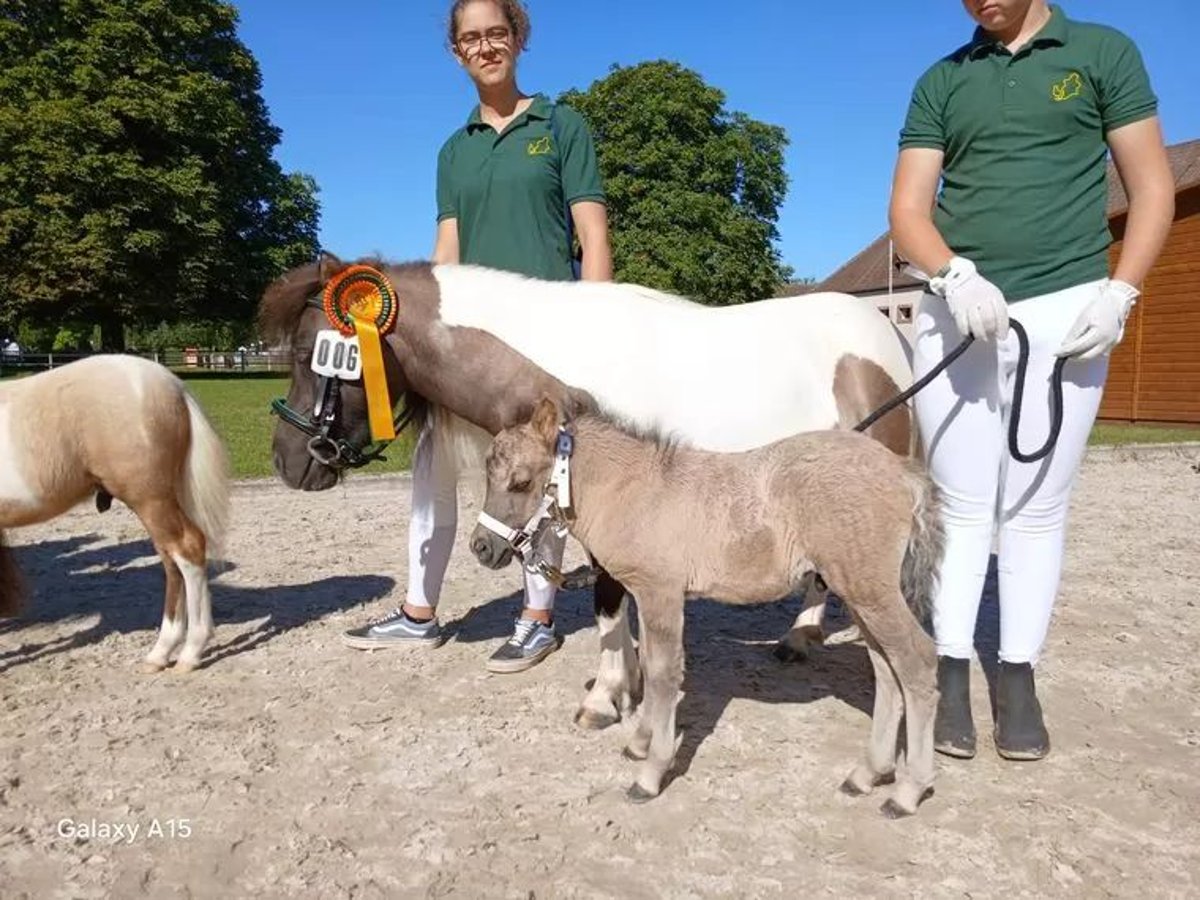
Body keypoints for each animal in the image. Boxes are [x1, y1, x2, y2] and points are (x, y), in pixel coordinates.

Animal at [0, 355, 229, 672]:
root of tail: (172, 384)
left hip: (150, 499)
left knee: (186, 550)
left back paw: (189, 653)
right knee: (171, 560)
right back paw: (161, 654)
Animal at [262, 252, 912, 724]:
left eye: (307, 352)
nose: (286, 460)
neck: (566, 375)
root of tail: (885, 334)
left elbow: (607, 603)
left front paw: (605, 697)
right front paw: (629, 683)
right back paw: (801, 637)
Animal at [472, 398, 940, 820]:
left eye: (520, 482)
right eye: (487, 476)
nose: (482, 547)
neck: (636, 492)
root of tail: (902, 471)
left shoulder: (661, 592)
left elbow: (664, 674)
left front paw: (650, 774)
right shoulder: (647, 594)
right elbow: (652, 665)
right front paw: (639, 743)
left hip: (871, 591)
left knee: (917, 661)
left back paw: (907, 792)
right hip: (860, 593)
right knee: (886, 669)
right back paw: (867, 774)